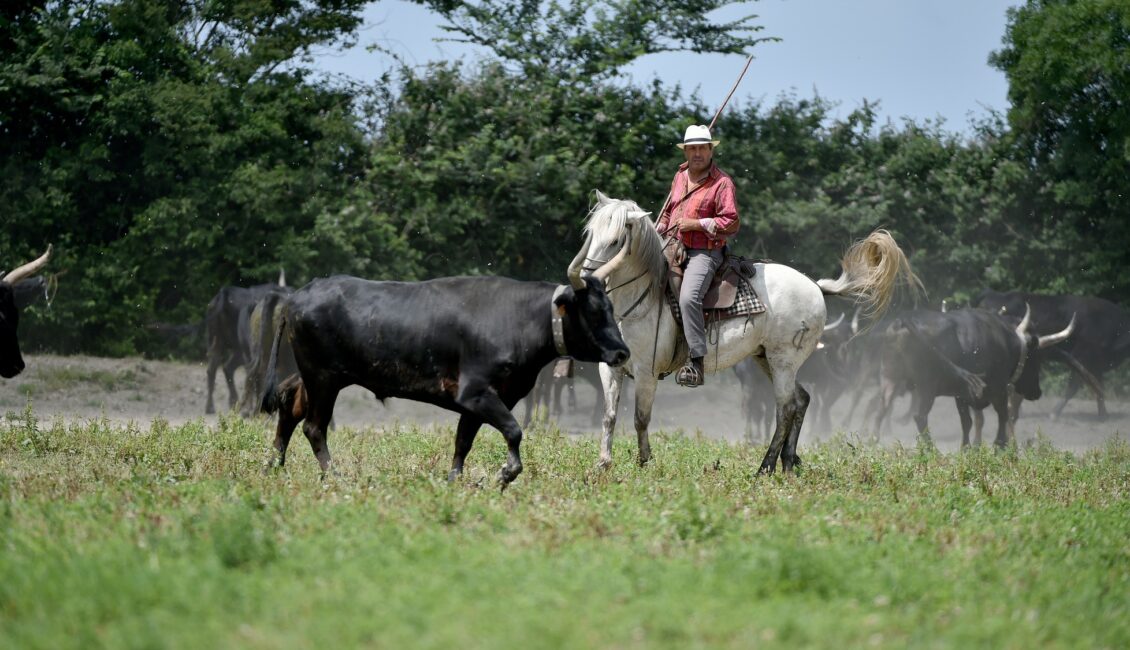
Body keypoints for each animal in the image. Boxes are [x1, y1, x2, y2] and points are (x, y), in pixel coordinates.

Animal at [259, 275, 632, 488]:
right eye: (594, 312)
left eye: (611, 308)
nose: (622, 352)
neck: (521, 318)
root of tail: (296, 297)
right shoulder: (476, 393)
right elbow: (513, 431)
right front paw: (503, 474)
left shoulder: (488, 399)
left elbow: (462, 441)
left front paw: (455, 480)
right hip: (323, 377)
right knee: (314, 427)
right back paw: (333, 476)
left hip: (317, 376)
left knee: (289, 402)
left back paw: (274, 465)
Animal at [565, 192, 917, 472]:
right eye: (590, 233)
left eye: (615, 241)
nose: (586, 278)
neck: (641, 297)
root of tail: (815, 286)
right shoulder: (611, 368)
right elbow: (609, 415)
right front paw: (603, 463)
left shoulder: (646, 372)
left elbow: (640, 418)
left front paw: (645, 463)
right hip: (766, 359)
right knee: (801, 400)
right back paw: (788, 461)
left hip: (783, 360)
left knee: (786, 408)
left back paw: (765, 467)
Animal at [872, 307, 1075, 449]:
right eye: (1036, 358)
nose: (1037, 392)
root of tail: (903, 321)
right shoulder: (998, 390)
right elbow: (1003, 416)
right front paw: (1000, 445)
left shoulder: (962, 395)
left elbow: (967, 422)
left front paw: (967, 448)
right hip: (926, 386)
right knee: (919, 416)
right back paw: (931, 450)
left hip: (889, 377)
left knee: (882, 409)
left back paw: (873, 441)